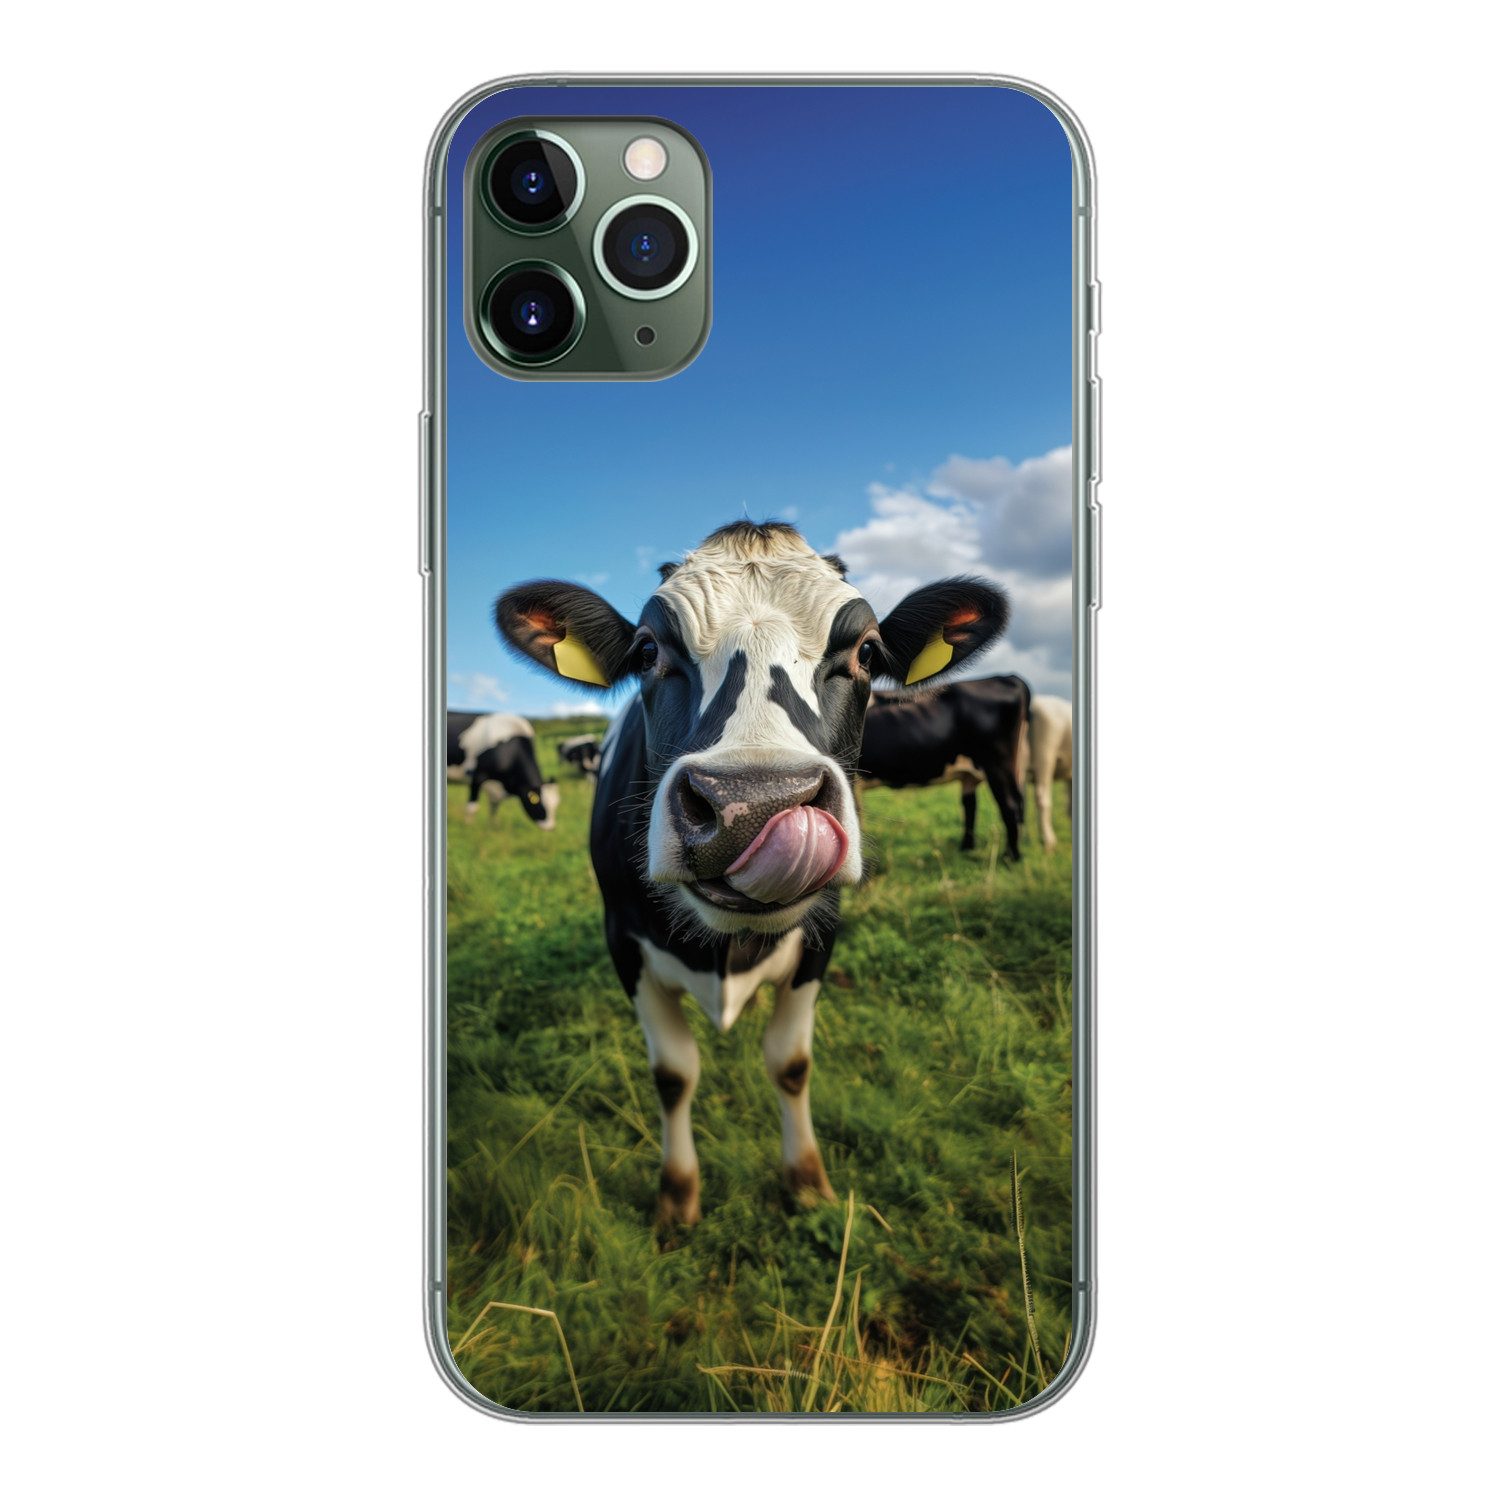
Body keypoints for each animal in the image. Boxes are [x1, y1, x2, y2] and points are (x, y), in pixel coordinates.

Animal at [494, 520, 1009, 1225]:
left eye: (867, 652)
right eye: (646, 650)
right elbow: (674, 1073)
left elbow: (790, 1064)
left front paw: (807, 1180)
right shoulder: (622, 939)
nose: (754, 804)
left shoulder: (822, 935)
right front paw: (677, 1195)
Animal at [859, 675, 1031, 858]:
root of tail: (1008, 677)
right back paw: (967, 849)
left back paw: (1010, 857)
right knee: (973, 805)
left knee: (1010, 805)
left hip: (997, 763)